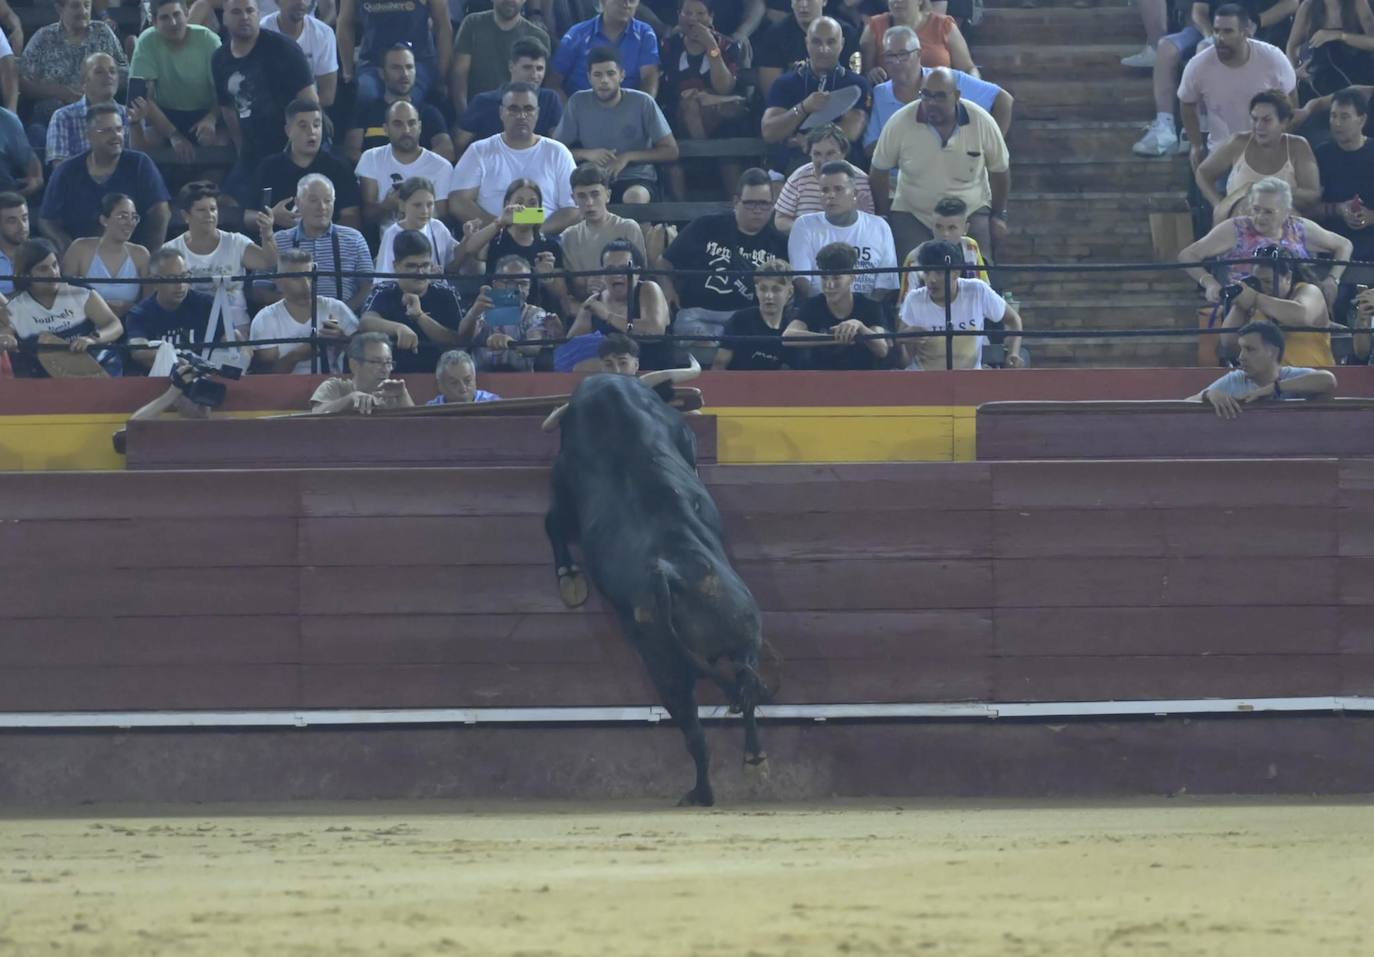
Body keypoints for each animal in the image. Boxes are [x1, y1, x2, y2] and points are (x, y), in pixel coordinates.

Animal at [538, 373, 774, 807]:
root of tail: (669, 574)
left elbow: (553, 523)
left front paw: (571, 578)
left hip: (669, 664)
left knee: (700, 725)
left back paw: (709, 788)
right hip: (736, 644)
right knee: (737, 699)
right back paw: (743, 770)